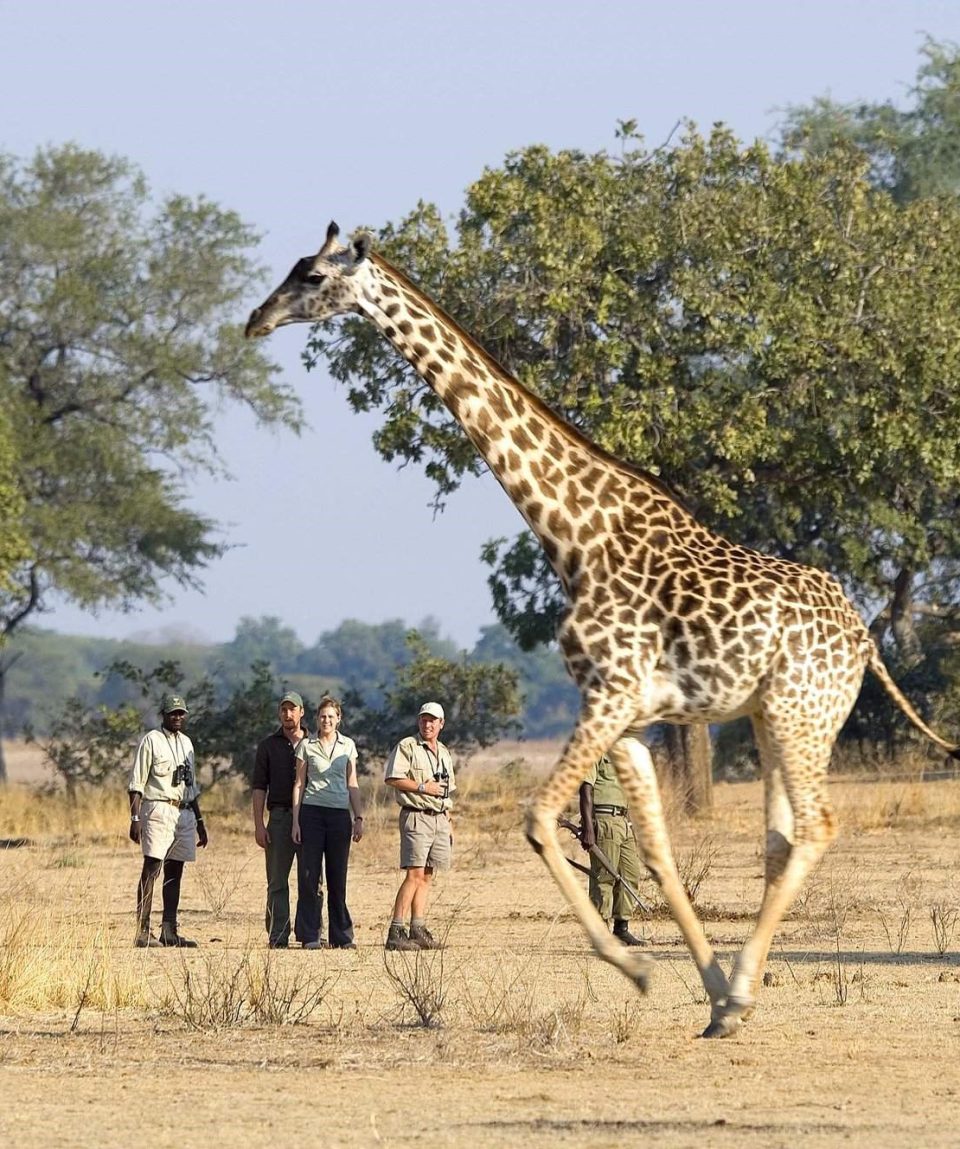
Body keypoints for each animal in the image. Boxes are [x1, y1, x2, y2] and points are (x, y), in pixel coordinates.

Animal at [243, 224, 955, 1043]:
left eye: (313, 275)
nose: (256, 318)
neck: (575, 535)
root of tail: (864, 637)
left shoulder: (608, 694)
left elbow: (538, 819)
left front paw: (641, 970)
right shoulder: (633, 717)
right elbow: (655, 850)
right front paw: (707, 989)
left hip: (802, 713)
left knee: (815, 826)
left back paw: (742, 989)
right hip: (775, 715)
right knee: (782, 836)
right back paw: (738, 994)